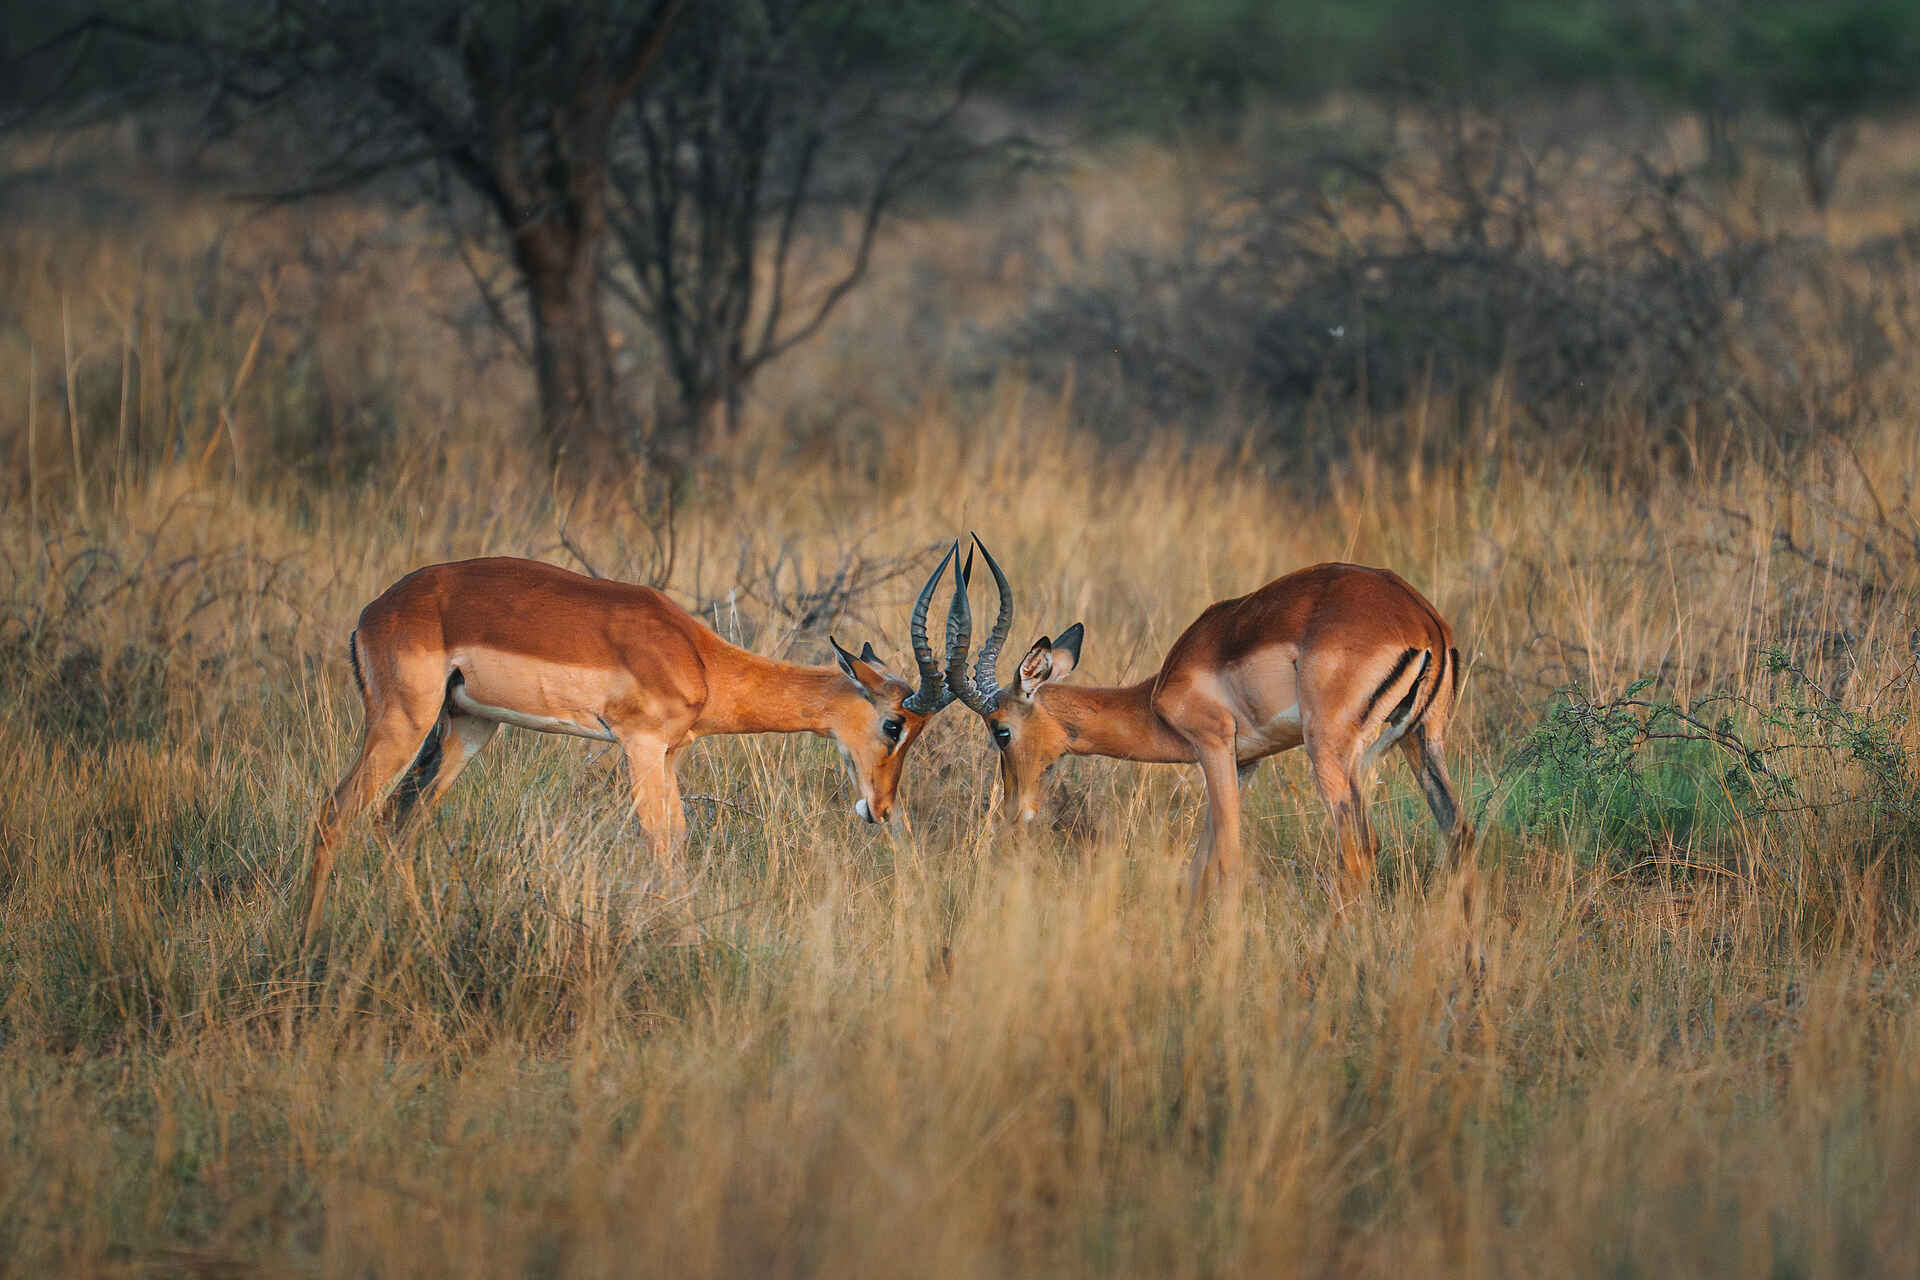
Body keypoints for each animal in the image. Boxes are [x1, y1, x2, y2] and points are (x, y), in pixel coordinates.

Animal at [303, 548, 965, 945]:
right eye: (895, 725)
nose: (882, 809)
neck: (699, 658)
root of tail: (374, 611)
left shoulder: (670, 753)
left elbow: (678, 836)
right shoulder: (640, 746)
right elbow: (661, 840)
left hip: (466, 729)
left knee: (397, 825)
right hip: (402, 723)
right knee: (335, 814)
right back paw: (310, 944)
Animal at [943, 537, 1469, 903]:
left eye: (1001, 731)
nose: (1015, 812)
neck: (1159, 693)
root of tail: (1423, 621)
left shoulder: (1213, 747)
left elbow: (1227, 861)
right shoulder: (1245, 763)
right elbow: (1197, 868)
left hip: (1330, 751)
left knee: (1359, 848)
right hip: (1424, 740)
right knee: (1458, 830)